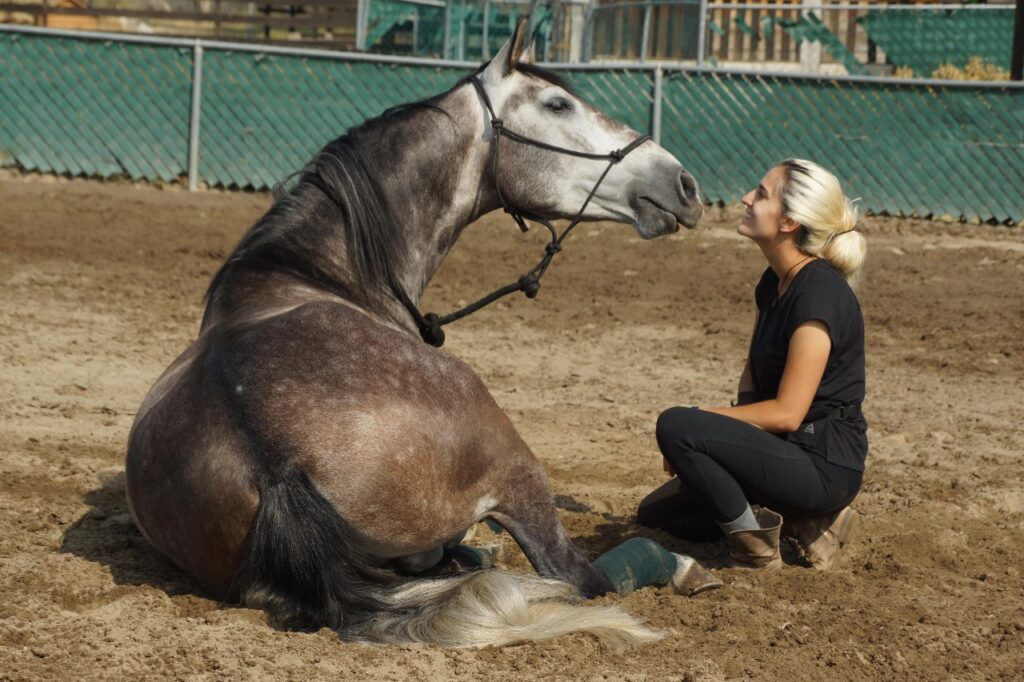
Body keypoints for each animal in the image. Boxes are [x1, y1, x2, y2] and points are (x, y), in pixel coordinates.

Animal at [125, 19, 703, 648]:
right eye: (557, 103)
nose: (683, 183)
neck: (309, 268)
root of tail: (275, 462)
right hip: (519, 470)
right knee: (578, 575)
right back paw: (677, 566)